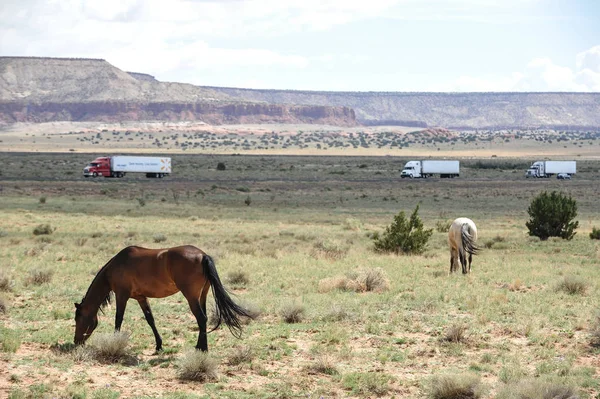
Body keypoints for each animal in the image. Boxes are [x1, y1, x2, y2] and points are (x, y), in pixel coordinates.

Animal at [74, 245, 252, 352]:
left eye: (79, 318)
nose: (76, 342)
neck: (117, 266)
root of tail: (203, 256)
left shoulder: (122, 295)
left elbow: (118, 319)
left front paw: (115, 342)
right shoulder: (141, 297)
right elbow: (150, 319)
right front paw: (159, 345)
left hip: (191, 297)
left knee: (201, 318)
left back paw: (201, 349)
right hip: (203, 295)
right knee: (204, 318)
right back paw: (200, 347)